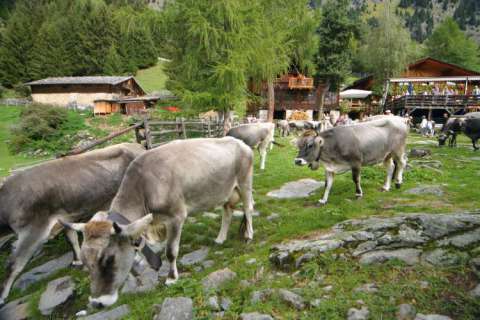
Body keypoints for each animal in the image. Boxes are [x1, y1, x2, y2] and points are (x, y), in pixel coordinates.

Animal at [0, 143, 145, 304]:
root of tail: (137, 146)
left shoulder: (33, 231)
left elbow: (14, 264)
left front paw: (2, 296)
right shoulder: (65, 218)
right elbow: (71, 238)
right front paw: (77, 261)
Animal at [62, 138, 255, 308]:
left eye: (109, 259)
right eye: (84, 260)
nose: (97, 302)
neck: (144, 187)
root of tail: (241, 143)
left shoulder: (176, 216)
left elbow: (171, 251)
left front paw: (171, 278)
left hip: (245, 182)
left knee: (248, 208)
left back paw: (249, 235)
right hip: (225, 191)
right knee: (227, 211)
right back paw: (220, 238)